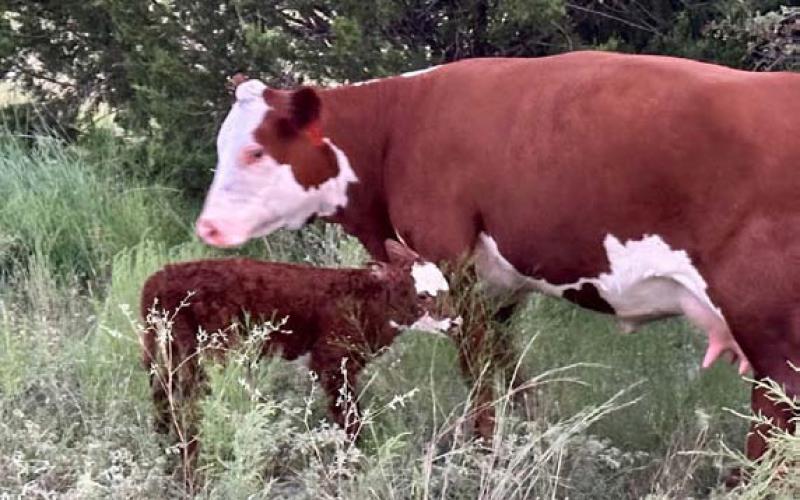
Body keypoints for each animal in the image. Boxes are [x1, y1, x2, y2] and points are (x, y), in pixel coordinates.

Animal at [194, 50, 800, 463]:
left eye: (255, 152)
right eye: (222, 145)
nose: (207, 227)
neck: (397, 128)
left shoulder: (449, 261)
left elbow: (479, 370)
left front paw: (480, 454)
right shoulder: (500, 284)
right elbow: (510, 370)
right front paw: (528, 436)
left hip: (767, 324)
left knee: (773, 425)